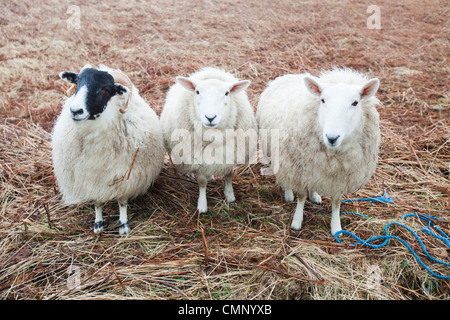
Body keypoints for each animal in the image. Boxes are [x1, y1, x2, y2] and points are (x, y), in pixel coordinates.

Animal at [52, 64, 165, 235]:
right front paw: (98, 224)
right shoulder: (91, 179)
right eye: (77, 82)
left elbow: (122, 202)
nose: (75, 111)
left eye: (105, 89)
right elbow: (97, 202)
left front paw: (124, 226)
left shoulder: (126, 177)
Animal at [160, 67, 256, 212]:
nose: (210, 117)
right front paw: (202, 205)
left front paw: (230, 196)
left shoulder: (230, 153)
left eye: (227, 93)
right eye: (197, 91)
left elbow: (228, 175)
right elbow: (202, 182)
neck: (214, 135)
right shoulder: (198, 159)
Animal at [256, 68, 380, 235]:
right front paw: (297, 221)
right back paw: (288, 194)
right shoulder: (299, 170)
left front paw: (336, 227)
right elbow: (301, 197)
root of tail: (290, 75)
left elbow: (336, 202)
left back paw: (315, 195)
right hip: (283, 156)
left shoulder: (339, 176)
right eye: (323, 100)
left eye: (355, 102)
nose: (332, 137)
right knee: (285, 176)